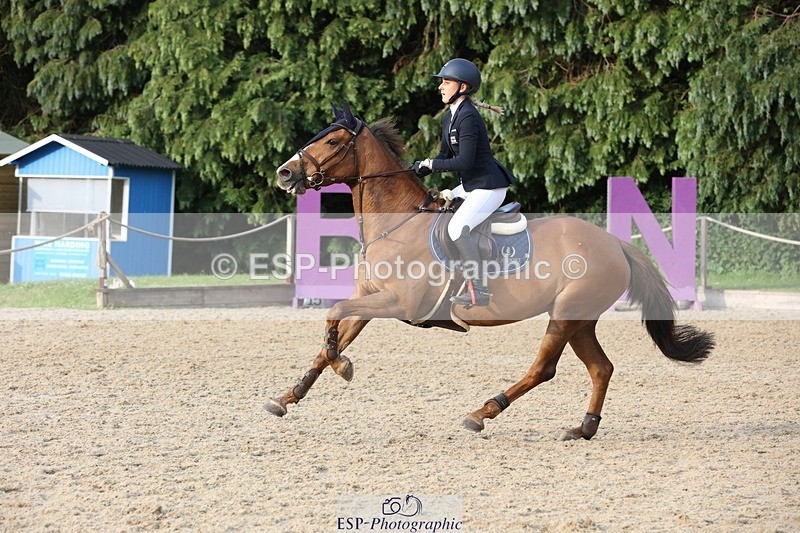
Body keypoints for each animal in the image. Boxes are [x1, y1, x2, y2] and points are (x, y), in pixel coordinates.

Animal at [268, 101, 714, 440]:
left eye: (332, 141)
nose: (284, 173)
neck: (398, 224)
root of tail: (615, 244)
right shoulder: (370, 298)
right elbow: (334, 331)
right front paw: (289, 395)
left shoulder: (400, 302)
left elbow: (333, 314)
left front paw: (342, 366)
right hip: (579, 318)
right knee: (600, 368)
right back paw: (582, 428)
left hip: (565, 315)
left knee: (543, 369)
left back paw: (482, 413)